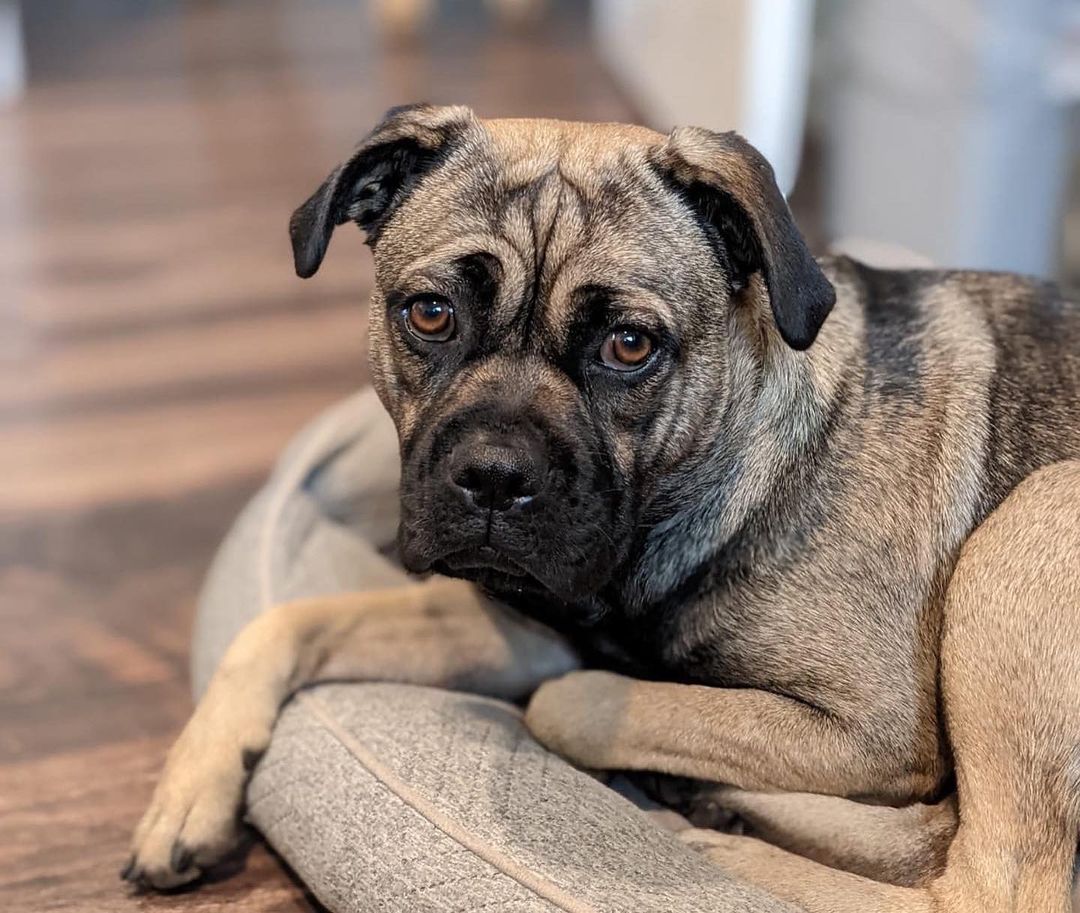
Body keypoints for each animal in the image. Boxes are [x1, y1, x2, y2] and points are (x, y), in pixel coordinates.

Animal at [124, 105, 1080, 903]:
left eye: (629, 344)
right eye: (429, 314)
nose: (494, 477)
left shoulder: (868, 728)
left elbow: (573, 701)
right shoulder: (520, 621)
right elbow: (283, 623)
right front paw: (190, 789)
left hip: (1031, 516)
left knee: (970, 872)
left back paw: (714, 838)